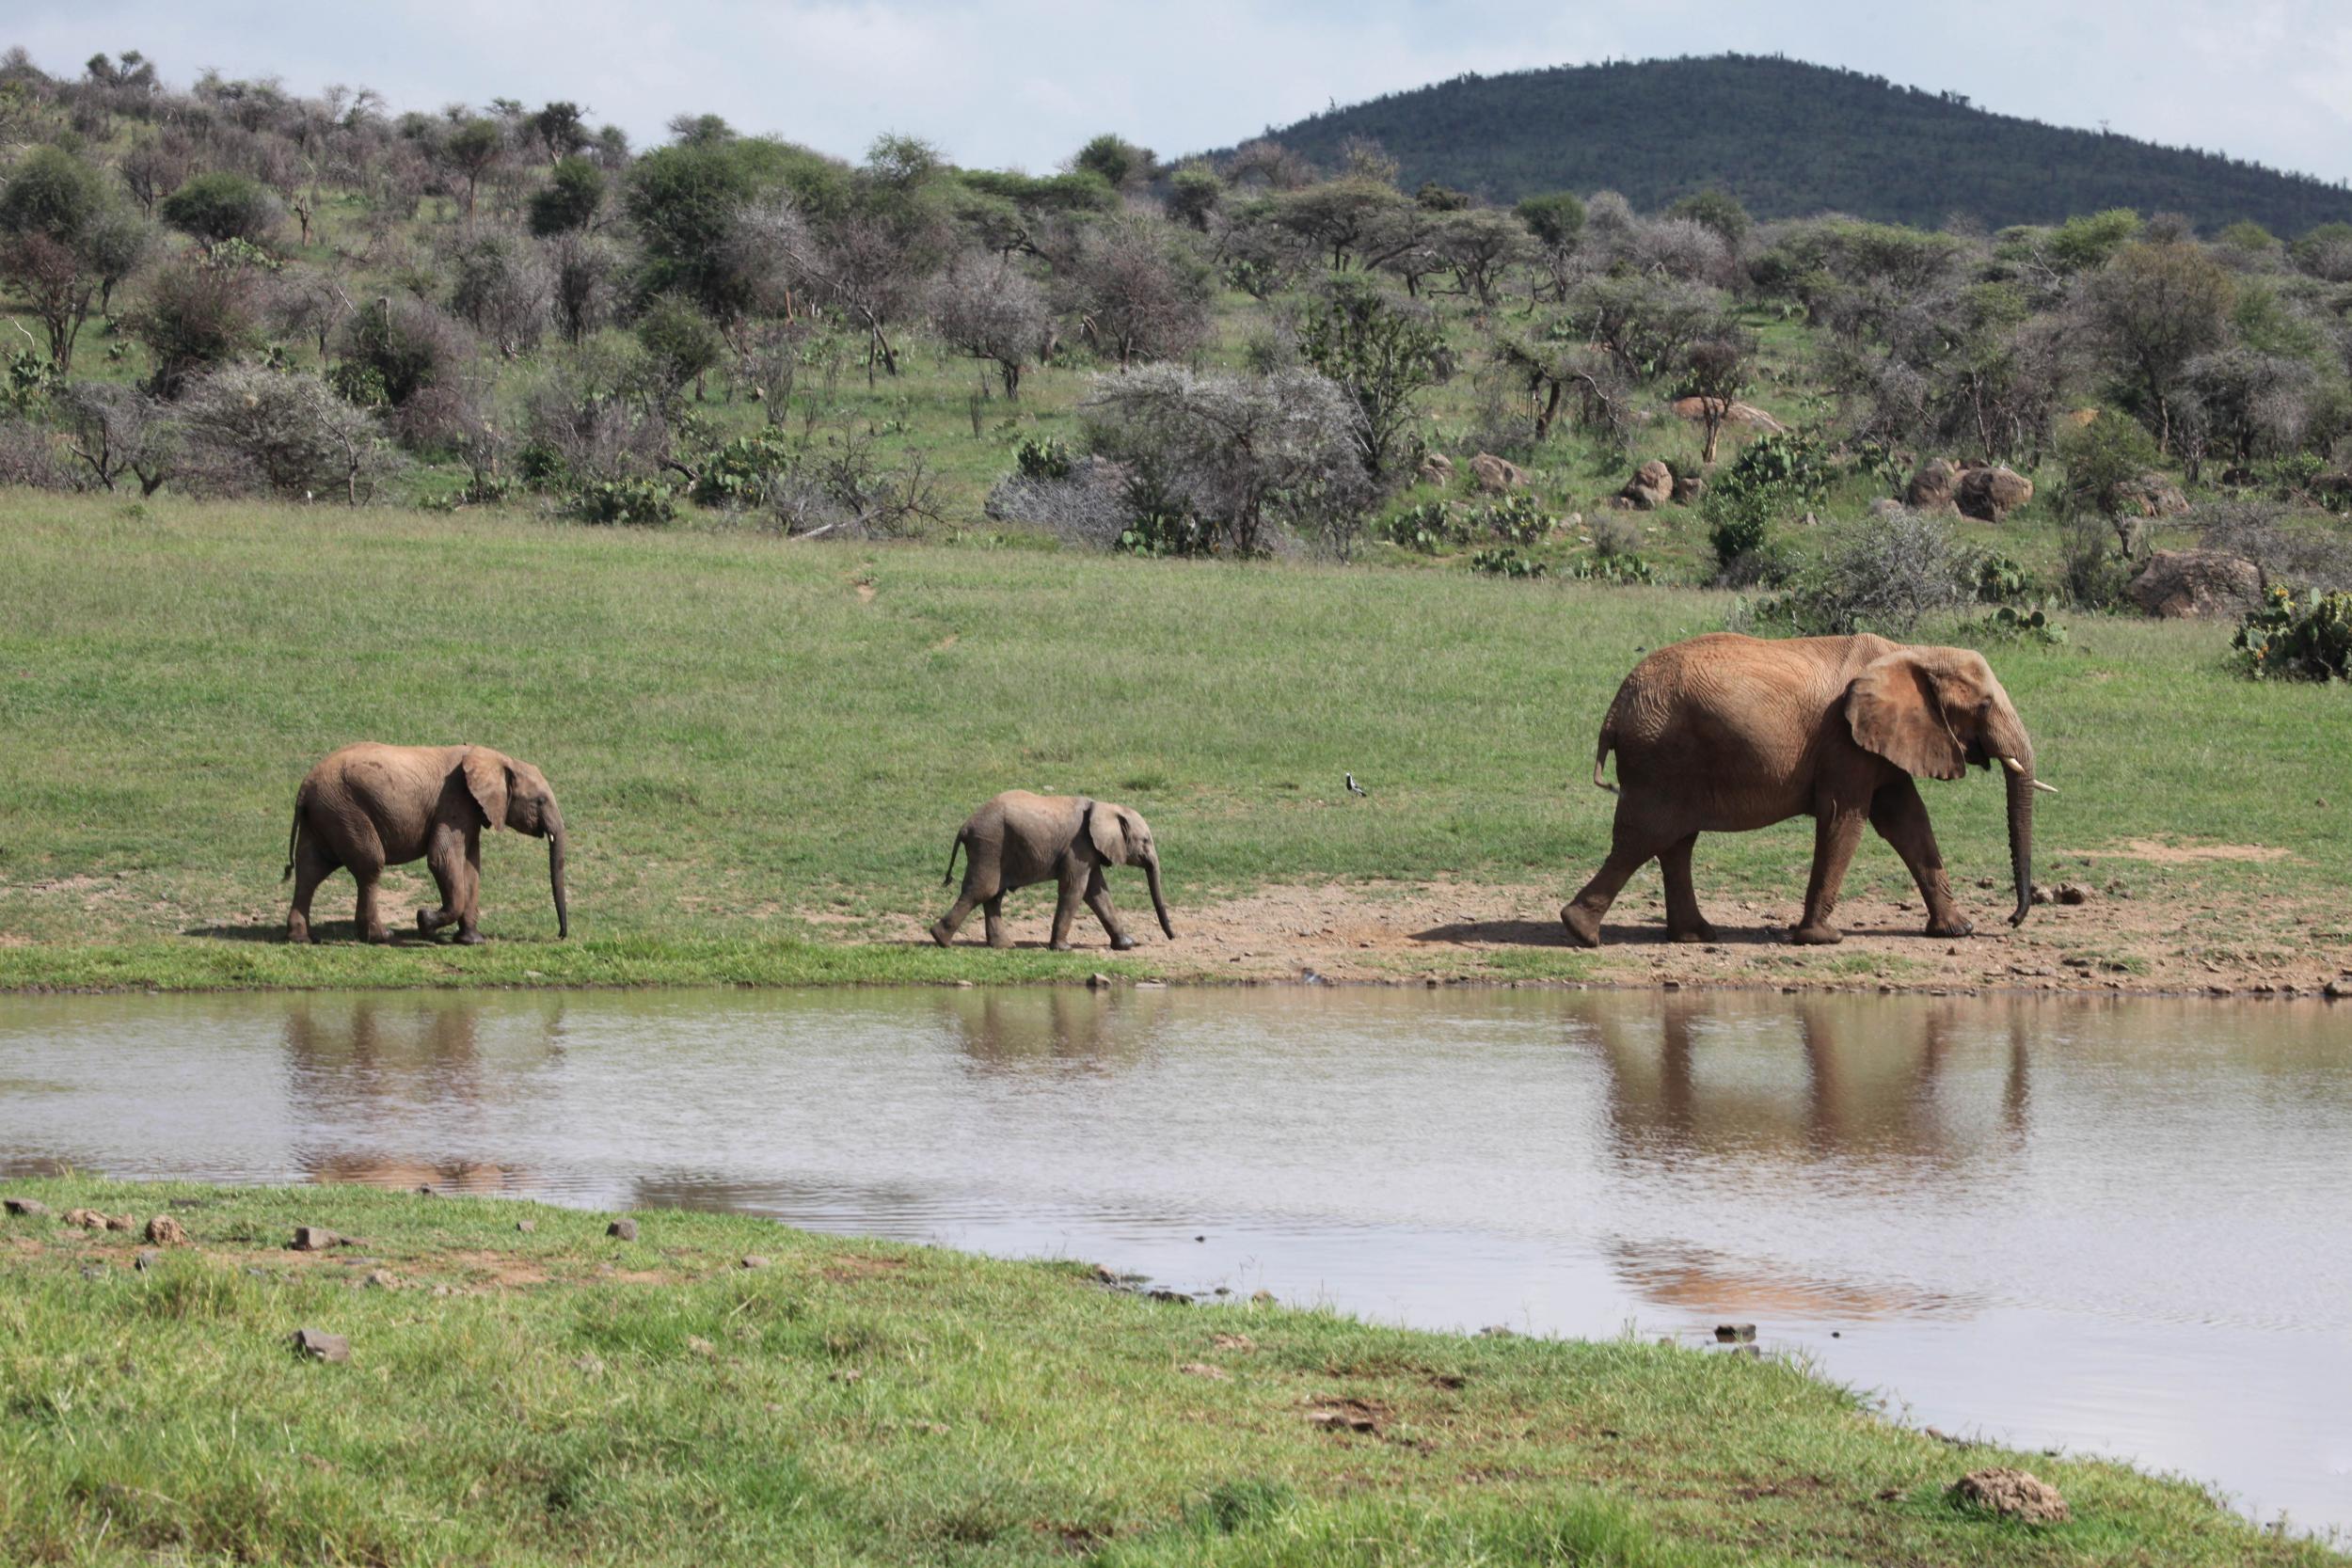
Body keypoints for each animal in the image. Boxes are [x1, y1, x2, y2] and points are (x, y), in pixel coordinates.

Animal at [284, 747, 569, 944]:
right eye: (540, 801)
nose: (559, 936)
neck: (496, 758)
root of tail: (305, 786)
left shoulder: (471, 809)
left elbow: (471, 867)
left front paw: (472, 941)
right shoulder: (454, 801)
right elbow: (442, 859)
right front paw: (424, 921)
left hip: (326, 813)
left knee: (310, 871)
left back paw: (303, 939)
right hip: (346, 810)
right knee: (370, 866)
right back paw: (382, 936)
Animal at [922, 789, 1171, 949]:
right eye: (1145, 841)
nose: (1172, 937)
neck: (1105, 806)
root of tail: (965, 826)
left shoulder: (1089, 851)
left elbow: (1098, 892)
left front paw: (1126, 944)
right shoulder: (1078, 848)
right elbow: (1075, 889)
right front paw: (1062, 948)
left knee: (993, 896)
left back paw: (1004, 946)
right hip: (989, 846)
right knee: (981, 891)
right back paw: (941, 940)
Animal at [1562, 634, 2060, 949]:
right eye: (1984, 706)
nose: (2011, 920)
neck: (1913, 652)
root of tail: (1616, 707)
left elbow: (1908, 821)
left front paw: (1959, 931)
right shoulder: (1843, 739)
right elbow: (1846, 818)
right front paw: (1822, 939)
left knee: (1674, 842)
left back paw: (1694, 936)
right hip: (1661, 756)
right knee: (1646, 835)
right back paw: (1582, 933)